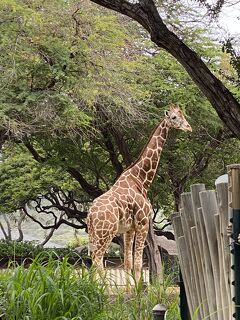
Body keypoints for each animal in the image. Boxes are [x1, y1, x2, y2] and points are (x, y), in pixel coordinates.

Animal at [87, 104, 192, 284]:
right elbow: (138, 263)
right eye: (173, 117)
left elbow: (128, 263)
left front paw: (130, 289)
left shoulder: (129, 229)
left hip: (94, 234)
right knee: (97, 260)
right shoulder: (143, 223)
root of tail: (90, 214)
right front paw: (139, 290)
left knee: (94, 261)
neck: (141, 180)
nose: (188, 127)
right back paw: (101, 288)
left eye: (182, 114)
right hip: (106, 233)